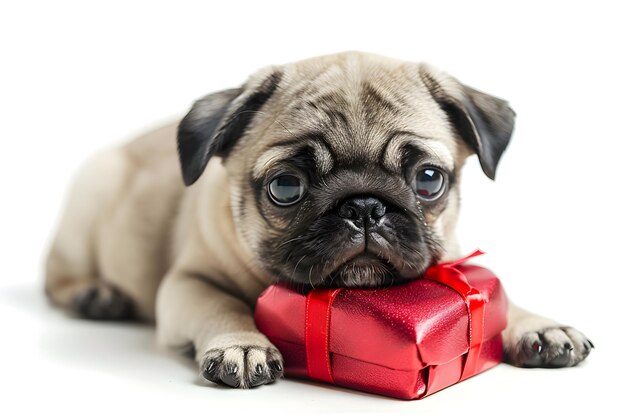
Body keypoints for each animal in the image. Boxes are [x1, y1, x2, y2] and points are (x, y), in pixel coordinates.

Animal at [44, 51, 588, 386]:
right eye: (286, 187)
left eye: (429, 179)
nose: (364, 206)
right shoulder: (187, 283)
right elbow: (223, 305)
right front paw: (244, 344)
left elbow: (506, 303)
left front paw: (538, 325)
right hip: (91, 196)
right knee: (57, 278)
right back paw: (97, 296)